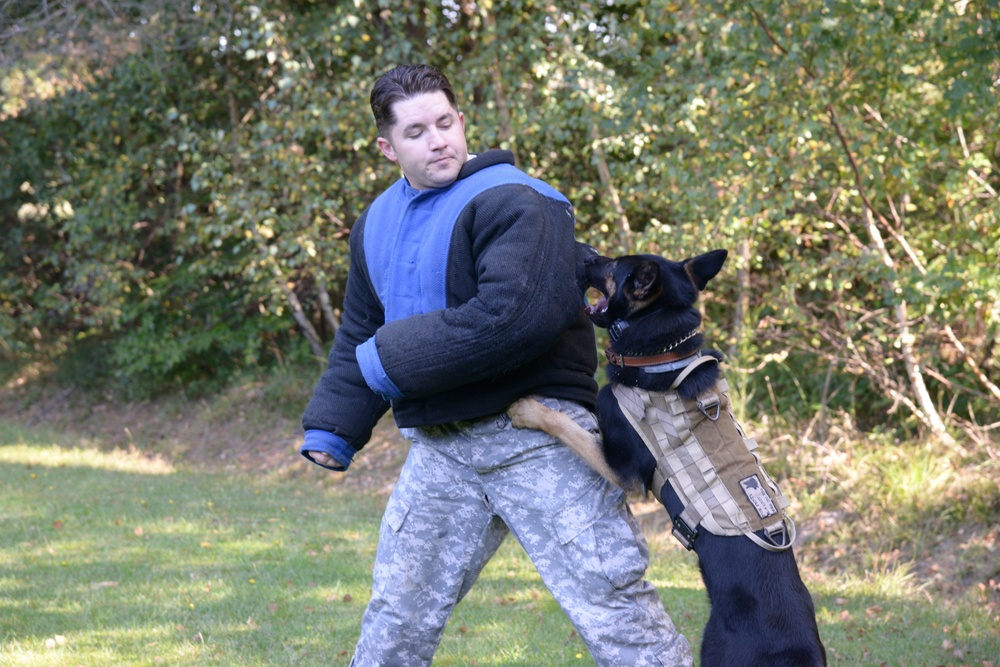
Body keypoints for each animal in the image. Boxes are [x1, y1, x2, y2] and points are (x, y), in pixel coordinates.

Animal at [512, 247, 824, 667]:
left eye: (613, 266)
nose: (587, 254)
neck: (664, 355)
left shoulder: (622, 468)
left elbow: (566, 425)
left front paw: (526, 409)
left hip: (715, 648)